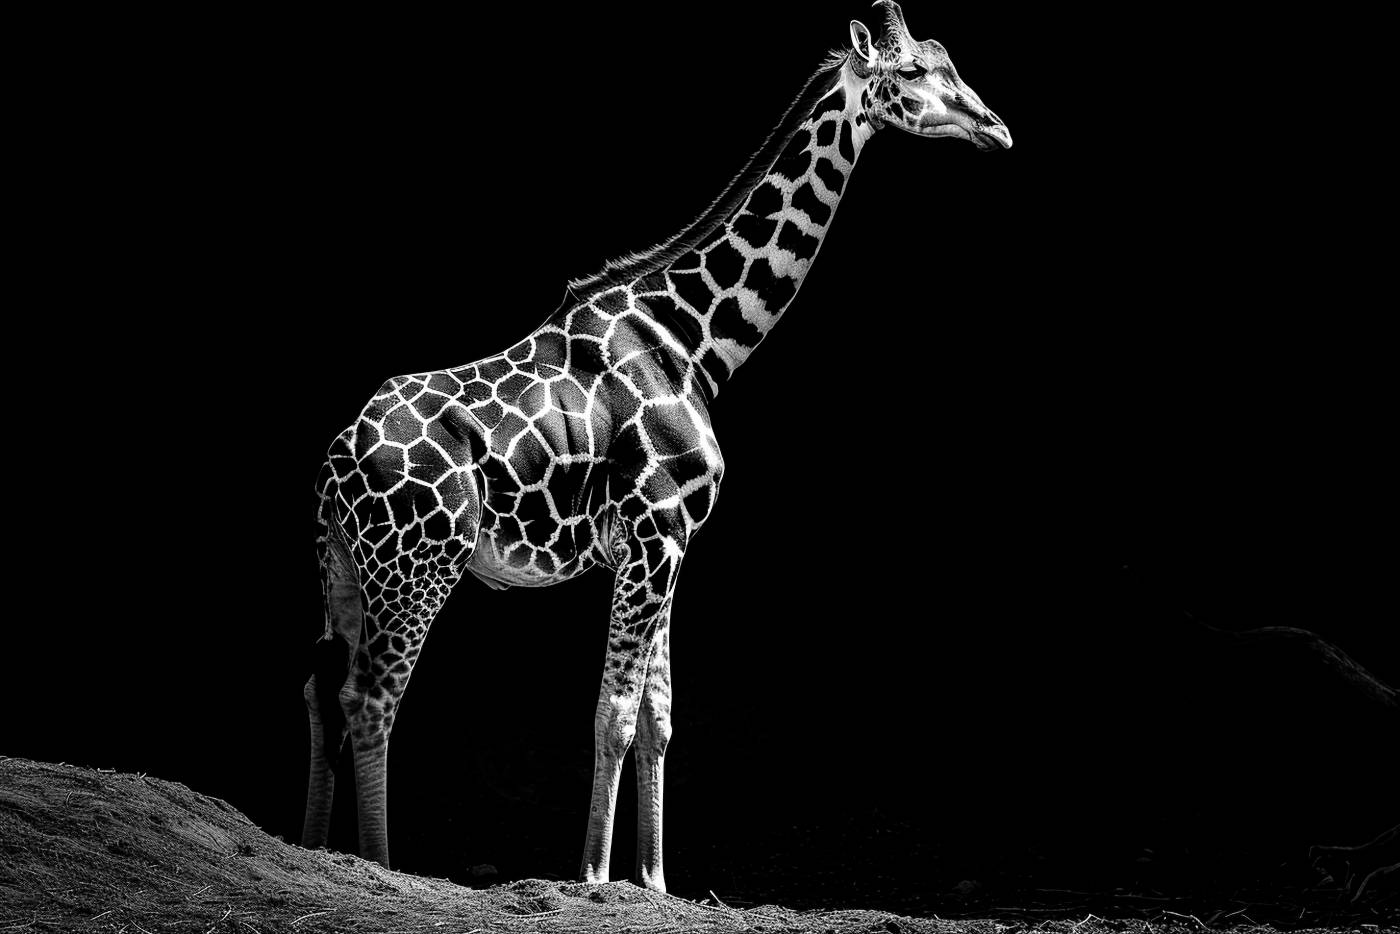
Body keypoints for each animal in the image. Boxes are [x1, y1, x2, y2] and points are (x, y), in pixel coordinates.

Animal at [301, 1, 1010, 892]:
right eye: (913, 72)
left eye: (948, 58)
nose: (995, 127)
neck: (699, 342)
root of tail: (338, 460)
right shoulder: (654, 533)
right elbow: (614, 712)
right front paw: (593, 876)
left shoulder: (670, 545)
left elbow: (660, 717)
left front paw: (655, 881)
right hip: (420, 565)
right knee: (371, 700)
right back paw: (379, 865)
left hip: (342, 565)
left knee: (320, 687)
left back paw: (310, 851)